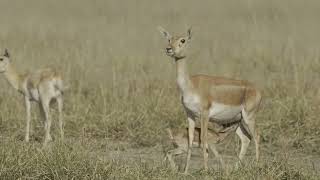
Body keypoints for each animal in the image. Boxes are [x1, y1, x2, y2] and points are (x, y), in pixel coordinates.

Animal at [159, 27, 262, 173]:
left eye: (183, 40)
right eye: (169, 39)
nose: (169, 49)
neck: (190, 85)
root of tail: (257, 90)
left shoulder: (205, 115)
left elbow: (203, 139)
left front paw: (206, 170)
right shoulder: (190, 115)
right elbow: (191, 139)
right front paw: (185, 171)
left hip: (249, 118)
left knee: (256, 137)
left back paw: (257, 166)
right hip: (238, 121)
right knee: (246, 139)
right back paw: (234, 169)